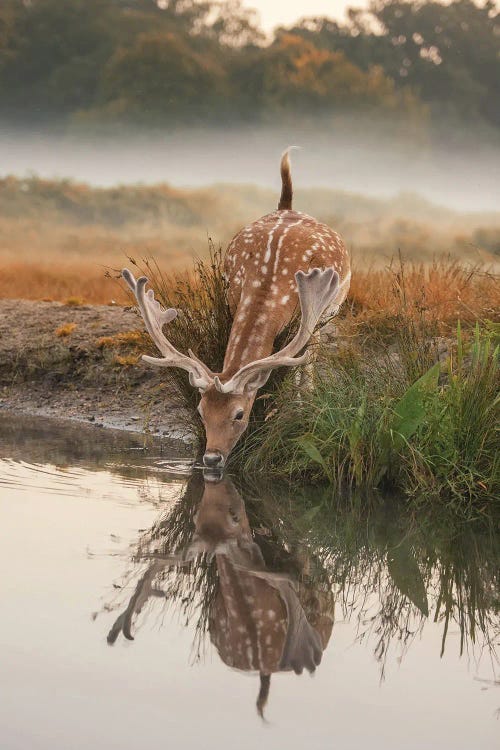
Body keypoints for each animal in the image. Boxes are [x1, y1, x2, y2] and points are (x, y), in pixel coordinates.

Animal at [122, 150, 350, 468]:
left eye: (239, 414)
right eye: (201, 411)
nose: (211, 458)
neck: (268, 284)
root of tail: (287, 206)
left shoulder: (307, 321)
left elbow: (300, 364)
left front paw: (298, 409)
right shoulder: (232, 298)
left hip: (326, 314)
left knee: (310, 361)